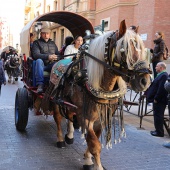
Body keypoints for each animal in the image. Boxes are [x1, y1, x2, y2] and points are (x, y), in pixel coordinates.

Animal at [40, 20, 151, 170]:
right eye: (124, 50)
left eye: (142, 49)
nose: (144, 81)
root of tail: (58, 61)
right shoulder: (85, 117)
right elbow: (94, 144)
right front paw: (95, 164)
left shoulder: (101, 117)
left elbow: (93, 140)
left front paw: (88, 158)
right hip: (56, 100)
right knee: (58, 118)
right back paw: (61, 139)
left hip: (70, 104)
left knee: (69, 116)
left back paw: (69, 135)